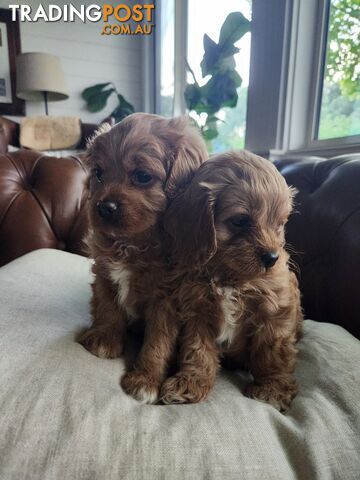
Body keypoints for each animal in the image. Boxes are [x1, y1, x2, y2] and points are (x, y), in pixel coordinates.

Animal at [77, 112, 208, 402]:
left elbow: (158, 341)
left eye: (143, 176)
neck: (133, 243)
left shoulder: (166, 299)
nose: (104, 207)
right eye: (98, 174)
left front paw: (146, 379)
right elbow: (107, 308)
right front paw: (104, 340)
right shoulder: (104, 275)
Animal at [128, 149, 302, 408]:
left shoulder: (274, 310)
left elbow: (273, 352)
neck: (229, 277)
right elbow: (198, 351)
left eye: (280, 224)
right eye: (240, 221)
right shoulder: (198, 313)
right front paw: (191, 383)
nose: (272, 258)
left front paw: (272, 389)